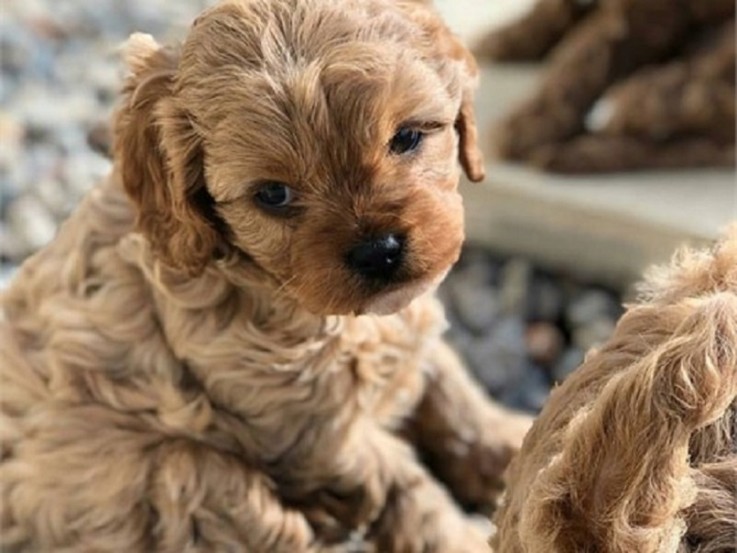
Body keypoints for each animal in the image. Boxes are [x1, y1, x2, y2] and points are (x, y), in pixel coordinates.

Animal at [0, 0, 528, 548]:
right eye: (273, 194)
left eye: (406, 138)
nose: (378, 251)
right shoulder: (312, 430)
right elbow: (402, 480)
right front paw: (457, 536)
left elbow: (449, 384)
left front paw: (511, 446)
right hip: (175, 472)